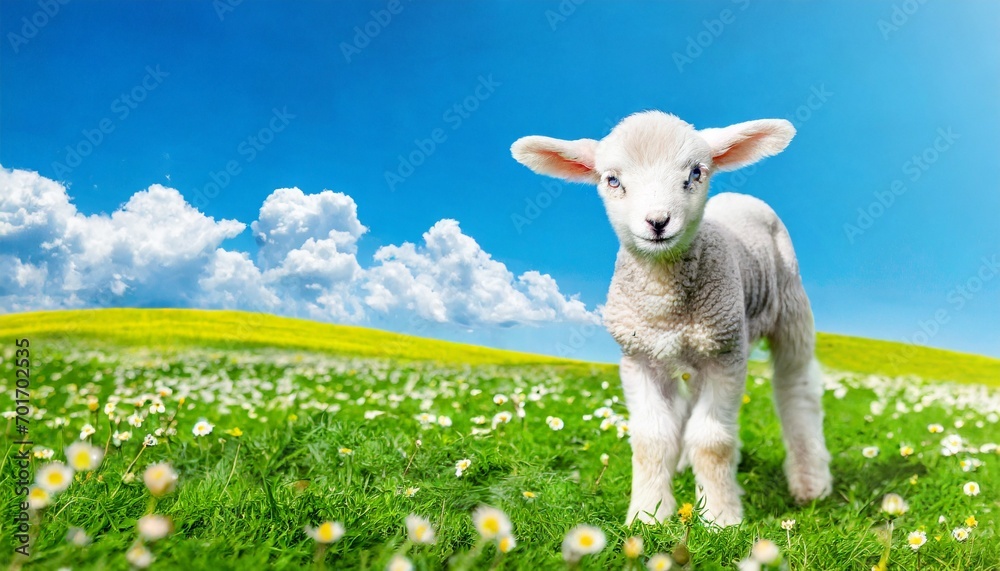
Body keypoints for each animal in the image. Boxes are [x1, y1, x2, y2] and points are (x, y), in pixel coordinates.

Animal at [510, 111, 832, 527]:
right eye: (612, 180)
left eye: (695, 173)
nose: (658, 221)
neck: (666, 305)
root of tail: (741, 197)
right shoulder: (640, 357)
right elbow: (652, 440)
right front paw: (648, 514)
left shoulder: (725, 354)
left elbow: (712, 441)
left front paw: (720, 517)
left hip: (789, 307)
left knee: (797, 389)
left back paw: (810, 482)